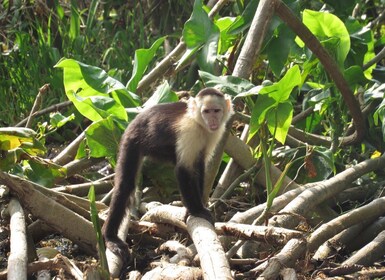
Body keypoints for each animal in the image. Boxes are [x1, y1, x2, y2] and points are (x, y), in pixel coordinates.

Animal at [102, 87, 232, 262]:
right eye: (206, 111)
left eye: (216, 111)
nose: (212, 120)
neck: (200, 124)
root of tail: (136, 117)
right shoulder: (189, 131)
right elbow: (183, 170)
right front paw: (197, 210)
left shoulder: (214, 134)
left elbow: (199, 166)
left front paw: (193, 208)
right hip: (131, 140)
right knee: (124, 186)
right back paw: (110, 238)